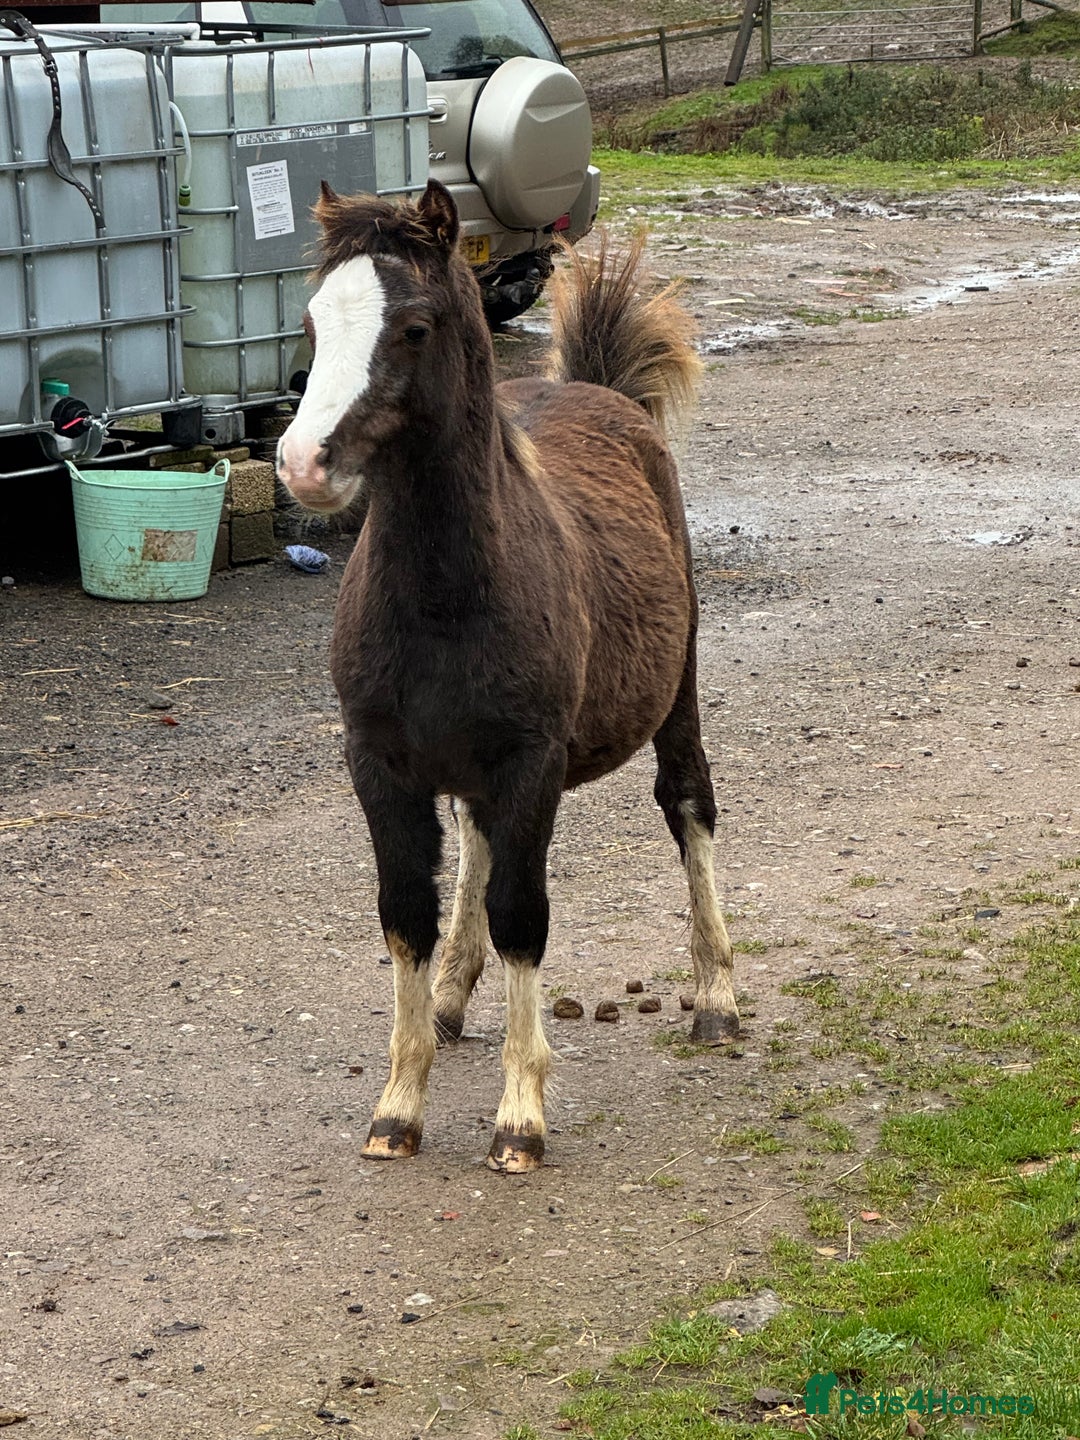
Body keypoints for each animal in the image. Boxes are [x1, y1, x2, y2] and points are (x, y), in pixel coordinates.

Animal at [276, 179, 740, 1173]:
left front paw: (520, 1118)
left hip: (675, 693)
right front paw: (398, 1106)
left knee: (688, 804)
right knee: (477, 845)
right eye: (313, 321)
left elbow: (523, 912)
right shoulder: (379, 765)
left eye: (413, 327)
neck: (444, 598)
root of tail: (602, 393)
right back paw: (452, 1001)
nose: (302, 464)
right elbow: (406, 912)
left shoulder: (532, 761)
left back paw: (719, 998)